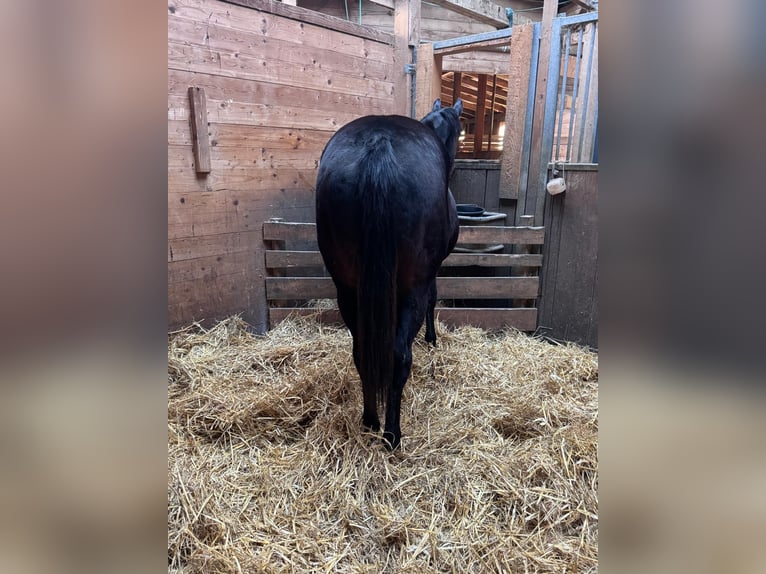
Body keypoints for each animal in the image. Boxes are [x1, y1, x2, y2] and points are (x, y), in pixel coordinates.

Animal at [315, 99, 463, 450]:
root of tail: (379, 143)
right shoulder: (430, 274)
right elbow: (433, 300)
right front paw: (432, 339)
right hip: (412, 285)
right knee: (399, 355)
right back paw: (392, 434)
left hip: (348, 289)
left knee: (362, 352)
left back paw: (370, 420)